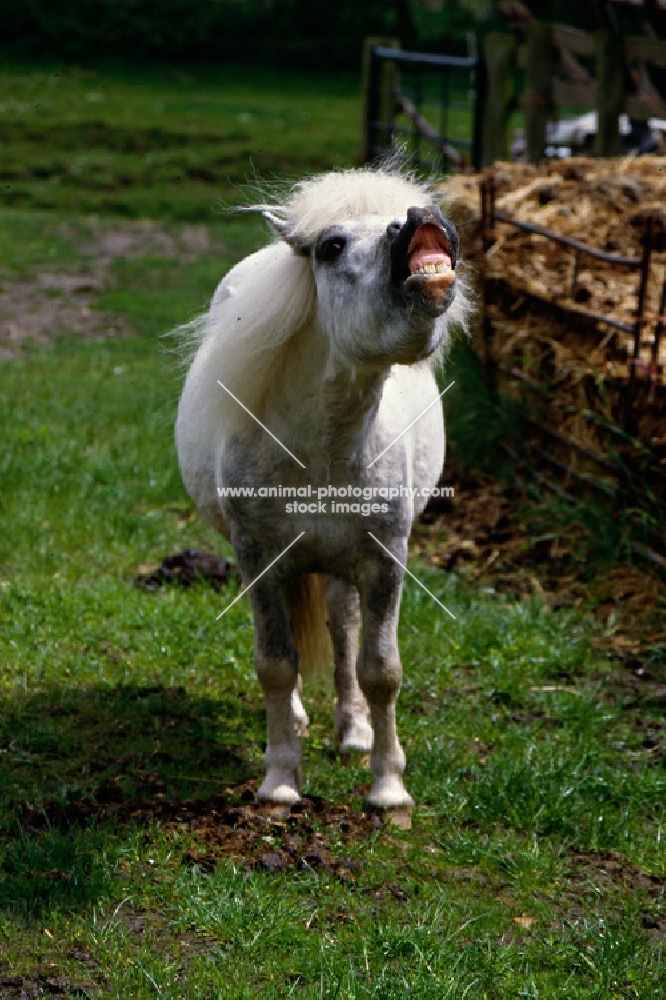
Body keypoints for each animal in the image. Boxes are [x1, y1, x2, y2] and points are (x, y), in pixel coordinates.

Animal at [176, 166, 466, 828]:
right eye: (332, 247)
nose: (421, 219)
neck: (322, 449)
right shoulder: (258, 556)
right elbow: (275, 661)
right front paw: (281, 780)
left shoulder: (384, 560)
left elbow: (381, 670)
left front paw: (388, 789)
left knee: (342, 626)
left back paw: (352, 729)